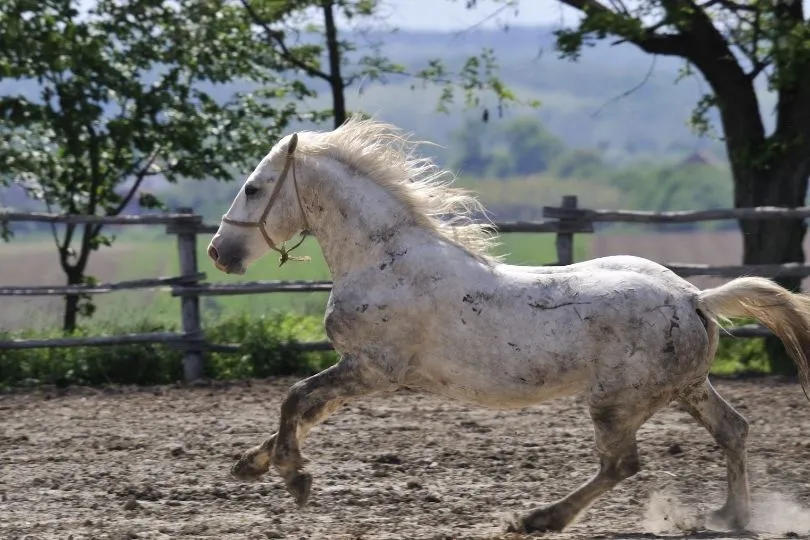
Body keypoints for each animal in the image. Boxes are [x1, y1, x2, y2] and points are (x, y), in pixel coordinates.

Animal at [206, 115, 810, 534]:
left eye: (254, 188)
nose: (219, 253)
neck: (383, 258)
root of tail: (695, 297)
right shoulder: (359, 371)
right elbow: (305, 410)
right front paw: (250, 464)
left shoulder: (373, 369)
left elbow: (295, 398)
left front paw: (295, 477)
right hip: (686, 387)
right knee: (732, 430)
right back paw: (730, 516)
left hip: (617, 401)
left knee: (622, 464)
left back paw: (537, 520)